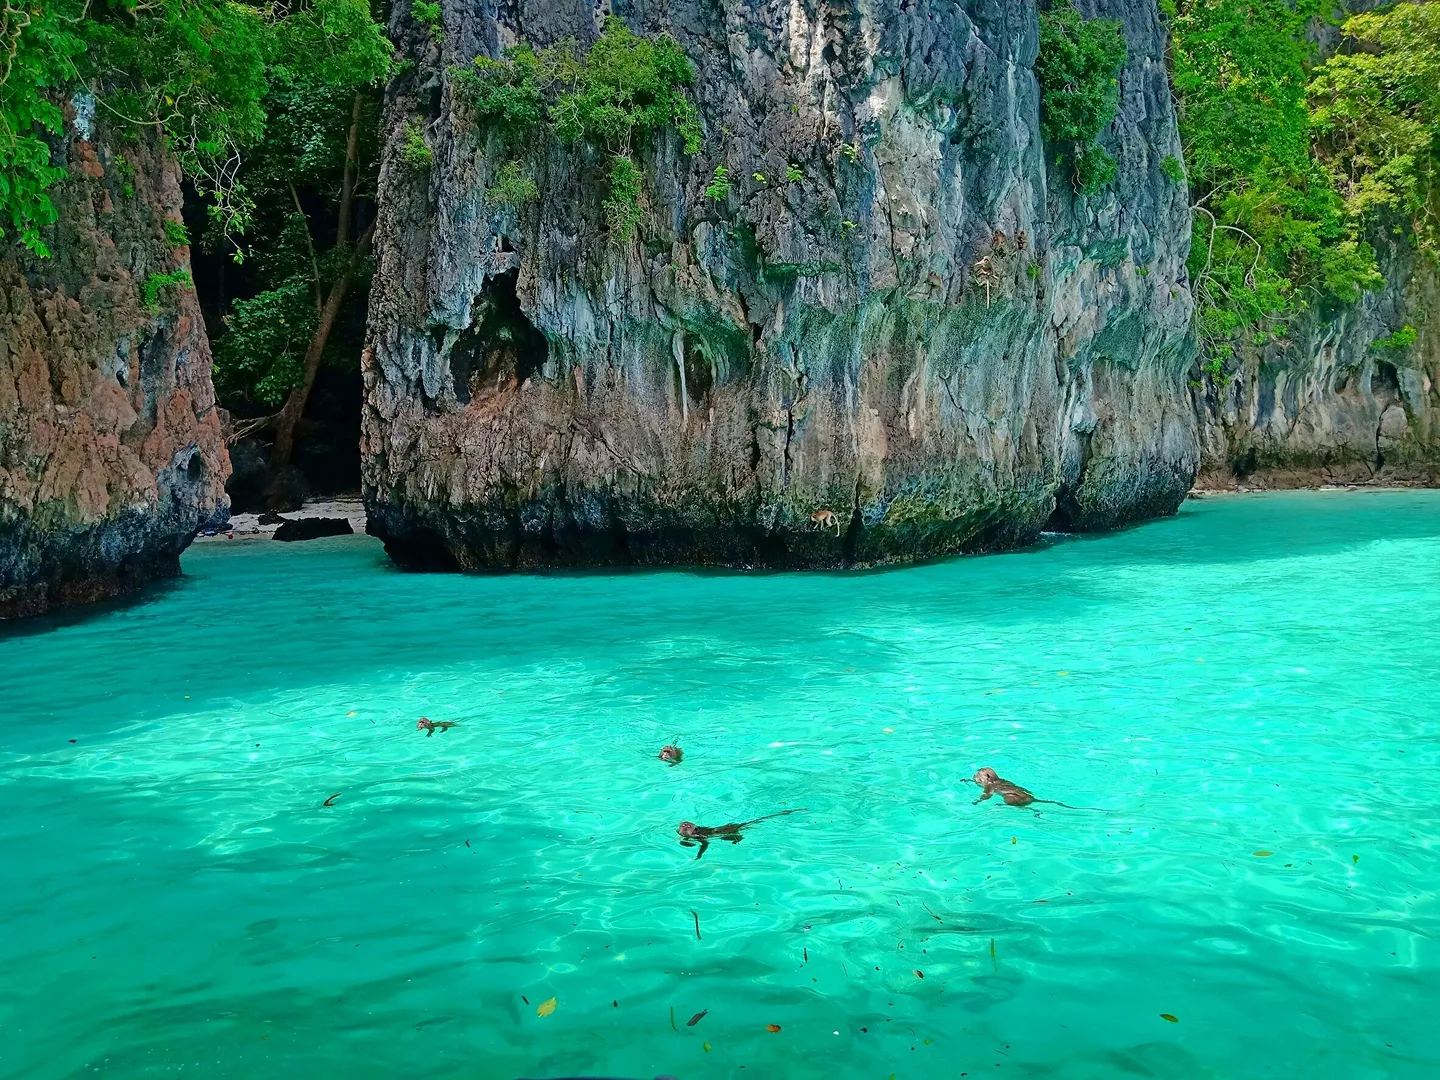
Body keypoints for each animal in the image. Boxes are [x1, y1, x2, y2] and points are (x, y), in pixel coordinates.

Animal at [677, 809, 806, 860]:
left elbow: (705, 843)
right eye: (683, 825)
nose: (684, 826)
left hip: (728, 833)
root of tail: (736, 825)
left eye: (688, 826)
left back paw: (737, 840)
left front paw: (698, 856)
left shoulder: (700, 837)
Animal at [968, 767, 1106, 812]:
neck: (995, 780)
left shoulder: (989, 787)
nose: (974, 775)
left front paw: (976, 801)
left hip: (1010, 798)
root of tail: (1032, 799)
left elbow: (986, 795)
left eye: (979, 773)